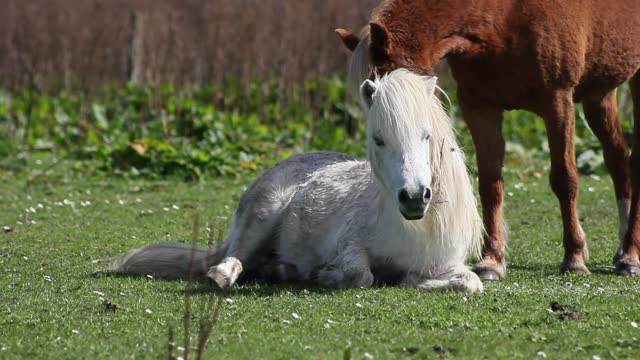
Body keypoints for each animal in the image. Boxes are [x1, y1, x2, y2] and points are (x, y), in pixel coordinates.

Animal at [112, 69, 482, 292]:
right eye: (378, 139)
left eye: (426, 135)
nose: (415, 197)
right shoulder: (348, 247)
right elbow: (360, 275)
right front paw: (324, 274)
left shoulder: (445, 263)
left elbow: (469, 281)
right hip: (262, 214)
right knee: (229, 262)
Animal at [336, 0, 640, 278]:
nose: (411, 197)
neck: (506, 15)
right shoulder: (480, 107)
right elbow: (490, 183)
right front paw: (491, 260)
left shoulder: (558, 101)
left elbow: (565, 179)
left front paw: (574, 257)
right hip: (600, 93)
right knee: (618, 161)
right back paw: (623, 249)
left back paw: (630, 255)